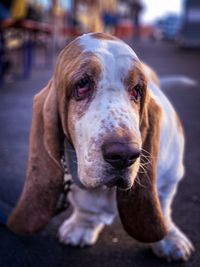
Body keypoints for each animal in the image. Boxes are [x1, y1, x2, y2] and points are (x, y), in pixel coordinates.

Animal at [7, 32, 194, 262]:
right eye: (82, 84)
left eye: (137, 90)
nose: (124, 155)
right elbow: (86, 204)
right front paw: (83, 226)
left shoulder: (171, 176)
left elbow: (164, 204)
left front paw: (169, 239)